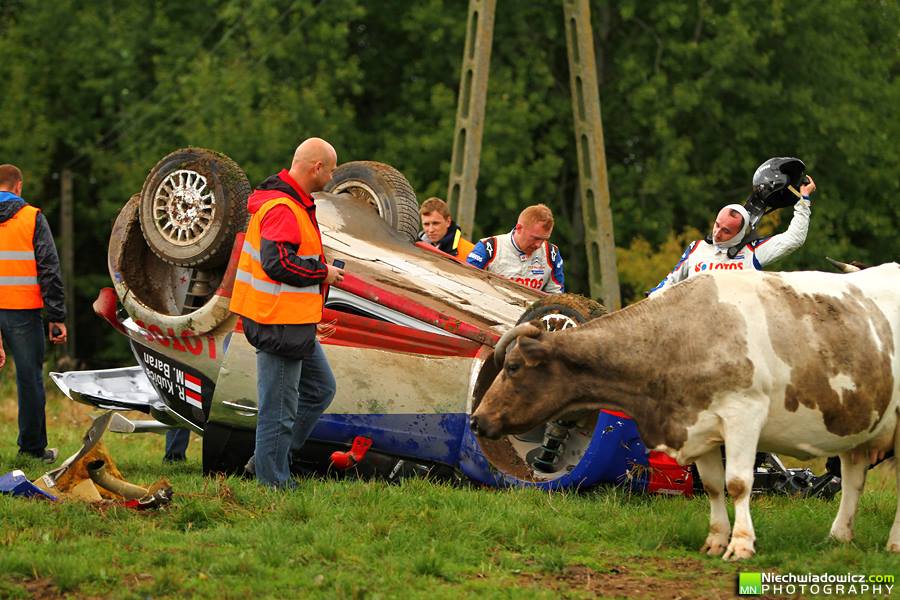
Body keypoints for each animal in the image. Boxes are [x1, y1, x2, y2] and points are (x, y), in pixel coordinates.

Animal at [472, 262, 900, 556]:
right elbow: (712, 485)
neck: (684, 334)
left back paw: (891, 544)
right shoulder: (698, 425)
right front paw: (715, 541)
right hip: (862, 429)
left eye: (513, 367)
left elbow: (738, 483)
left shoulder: (743, 416)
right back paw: (839, 537)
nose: (476, 419)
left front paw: (741, 545)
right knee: (855, 479)